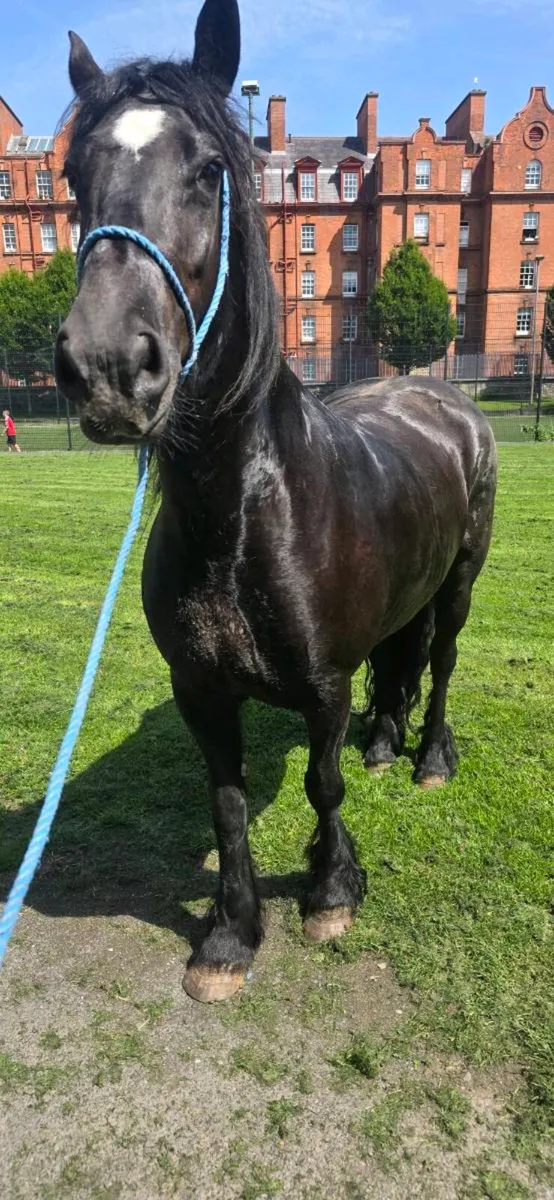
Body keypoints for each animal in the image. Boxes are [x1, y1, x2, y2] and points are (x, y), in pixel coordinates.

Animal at [55, 0, 497, 1003]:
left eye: (209, 170)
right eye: (71, 177)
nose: (106, 365)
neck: (244, 512)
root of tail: (444, 400)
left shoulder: (323, 688)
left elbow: (321, 785)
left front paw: (331, 890)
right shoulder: (200, 693)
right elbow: (225, 807)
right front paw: (229, 934)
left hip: (459, 585)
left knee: (443, 662)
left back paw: (427, 758)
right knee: (402, 662)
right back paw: (388, 740)